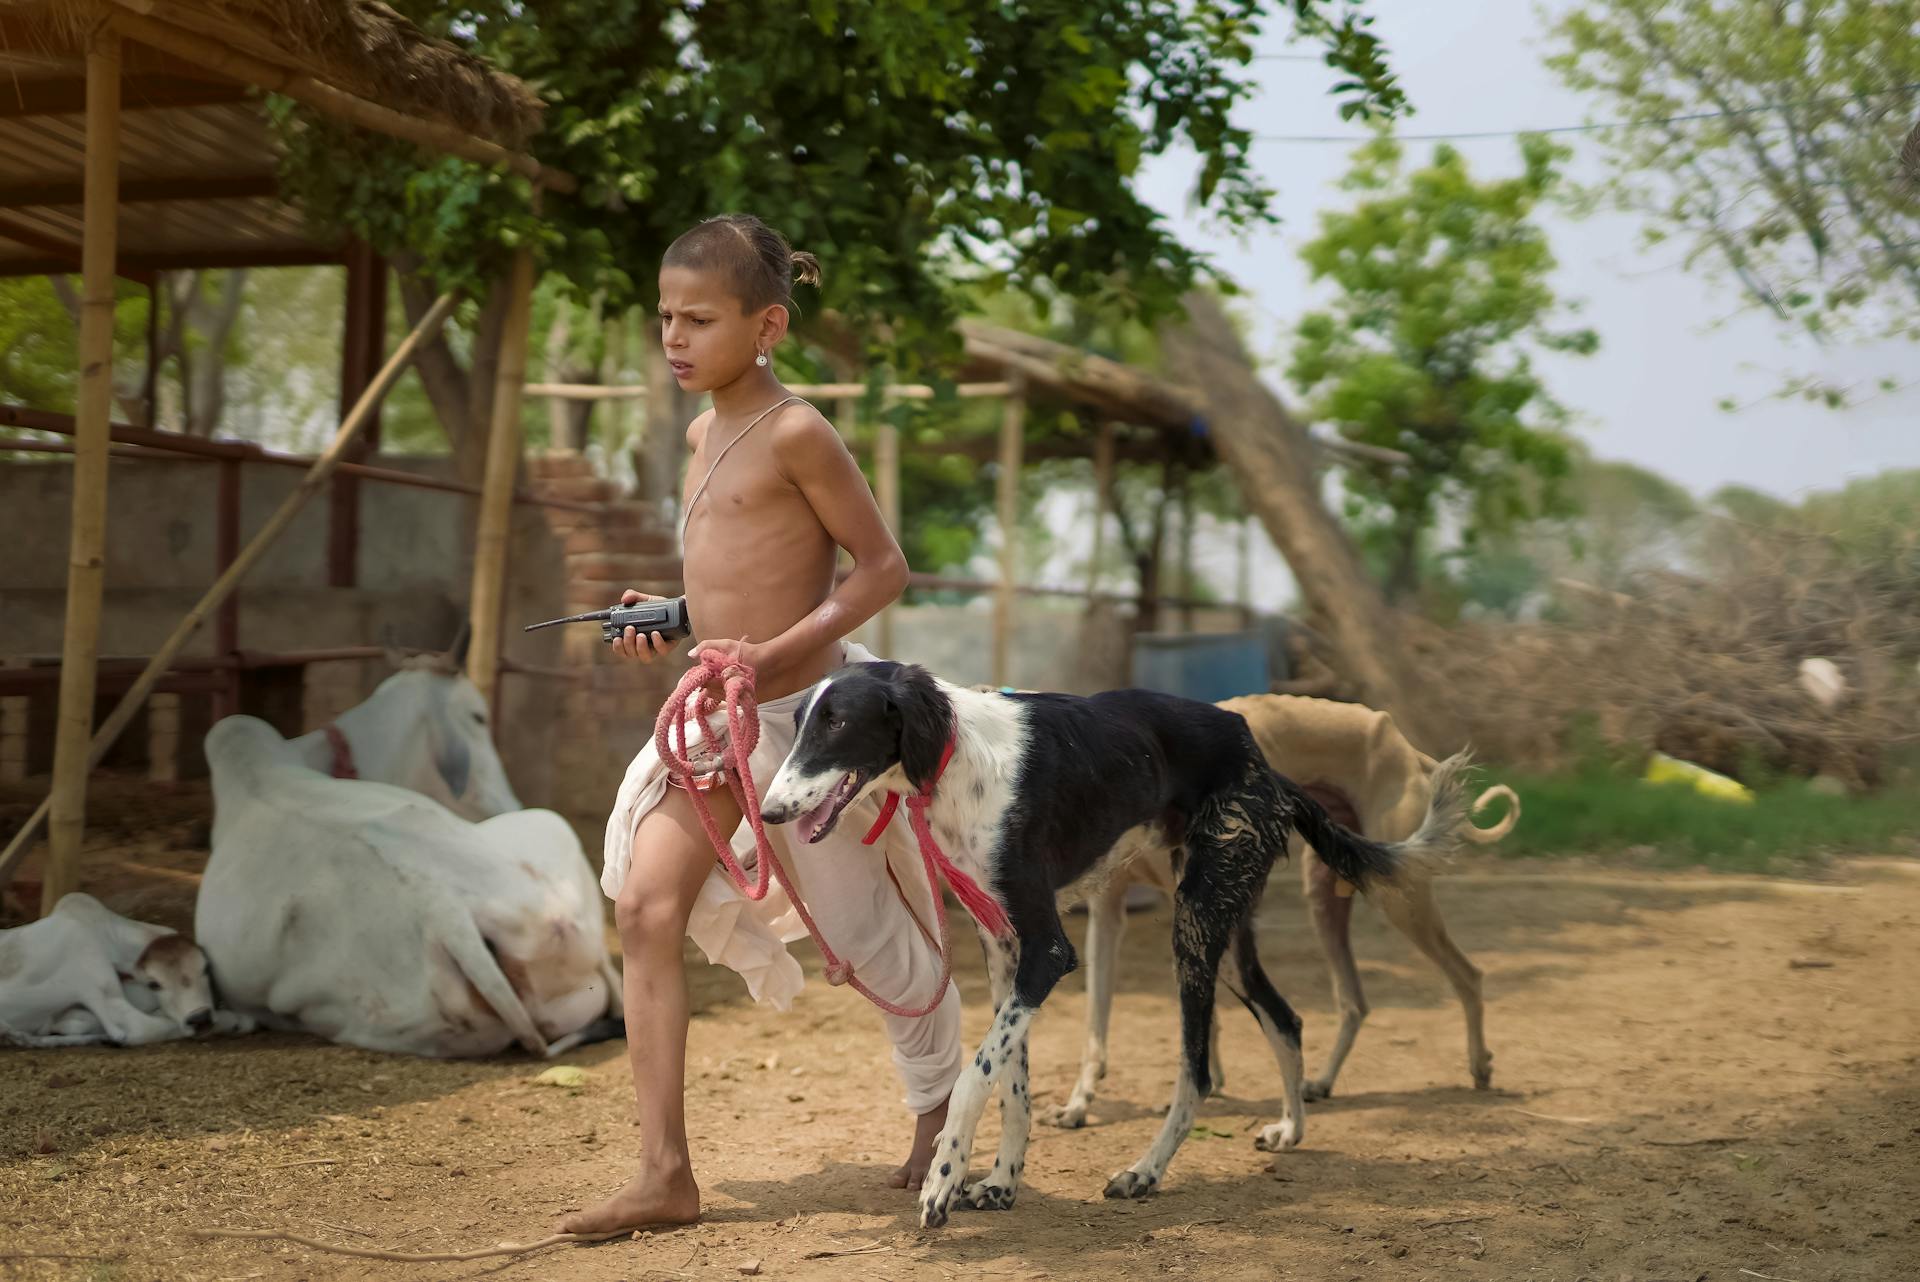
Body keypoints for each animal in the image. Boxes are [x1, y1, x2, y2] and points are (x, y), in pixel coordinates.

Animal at [756, 667, 1459, 1228]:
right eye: (798, 724)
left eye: (838, 724)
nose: (767, 814)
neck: (956, 758)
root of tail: (1266, 764)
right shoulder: (1004, 949)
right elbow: (1012, 1084)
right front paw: (1002, 1183)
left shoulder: (1048, 952)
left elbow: (973, 1078)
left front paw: (943, 1178)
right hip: (1221, 928)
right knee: (1284, 1018)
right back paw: (1291, 1128)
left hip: (1195, 926)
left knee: (1198, 1071)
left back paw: (1145, 1172)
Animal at [1052, 694, 1512, 1128]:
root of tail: (1398, 739)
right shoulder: (1109, 912)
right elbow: (1096, 1023)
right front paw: (1079, 1102)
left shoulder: (1192, 904)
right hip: (1325, 895)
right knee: (1353, 1001)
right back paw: (1320, 1082)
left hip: (1399, 898)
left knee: (1467, 975)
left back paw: (1480, 1065)